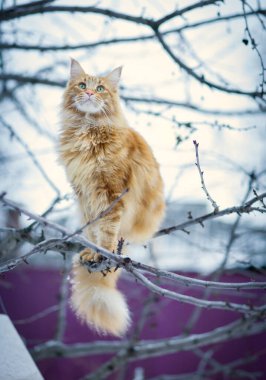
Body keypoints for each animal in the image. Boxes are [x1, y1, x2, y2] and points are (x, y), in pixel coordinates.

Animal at [58, 58, 164, 336]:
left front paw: (102, 253)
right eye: (81, 85)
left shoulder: (112, 194)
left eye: (101, 88)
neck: (87, 130)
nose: (88, 93)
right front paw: (91, 251)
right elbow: (93, 229)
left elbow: (106, 231)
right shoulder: (85, 195)